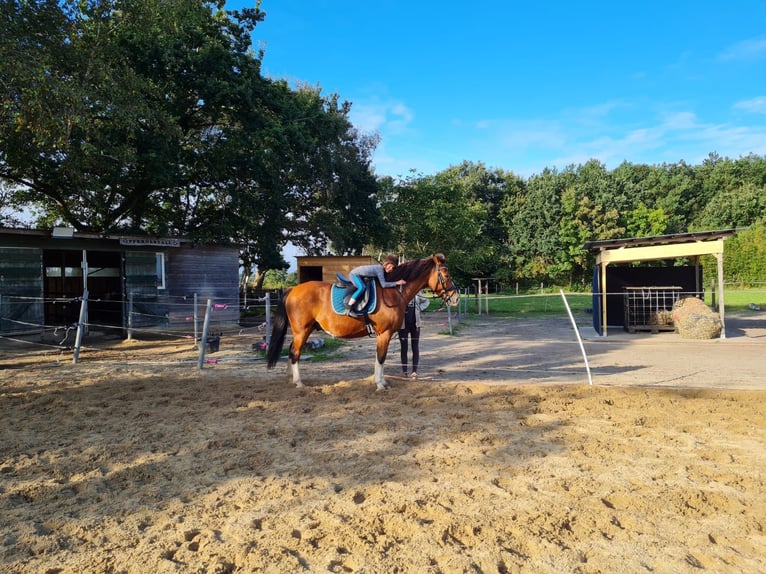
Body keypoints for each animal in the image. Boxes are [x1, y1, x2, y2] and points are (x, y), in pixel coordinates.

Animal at [268, 255, 462, 392]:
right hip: (302, 330)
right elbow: (381, 358)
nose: (456, 298)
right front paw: (380, 384)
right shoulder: (384, 333)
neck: (393, 292)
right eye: (446, 274)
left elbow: (380, 358)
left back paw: (290, 378)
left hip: (303, 330)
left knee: (292, 350)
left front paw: (383, 382)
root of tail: (293, 289)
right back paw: (299, 382)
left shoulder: (386, 334)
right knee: (295, 352)